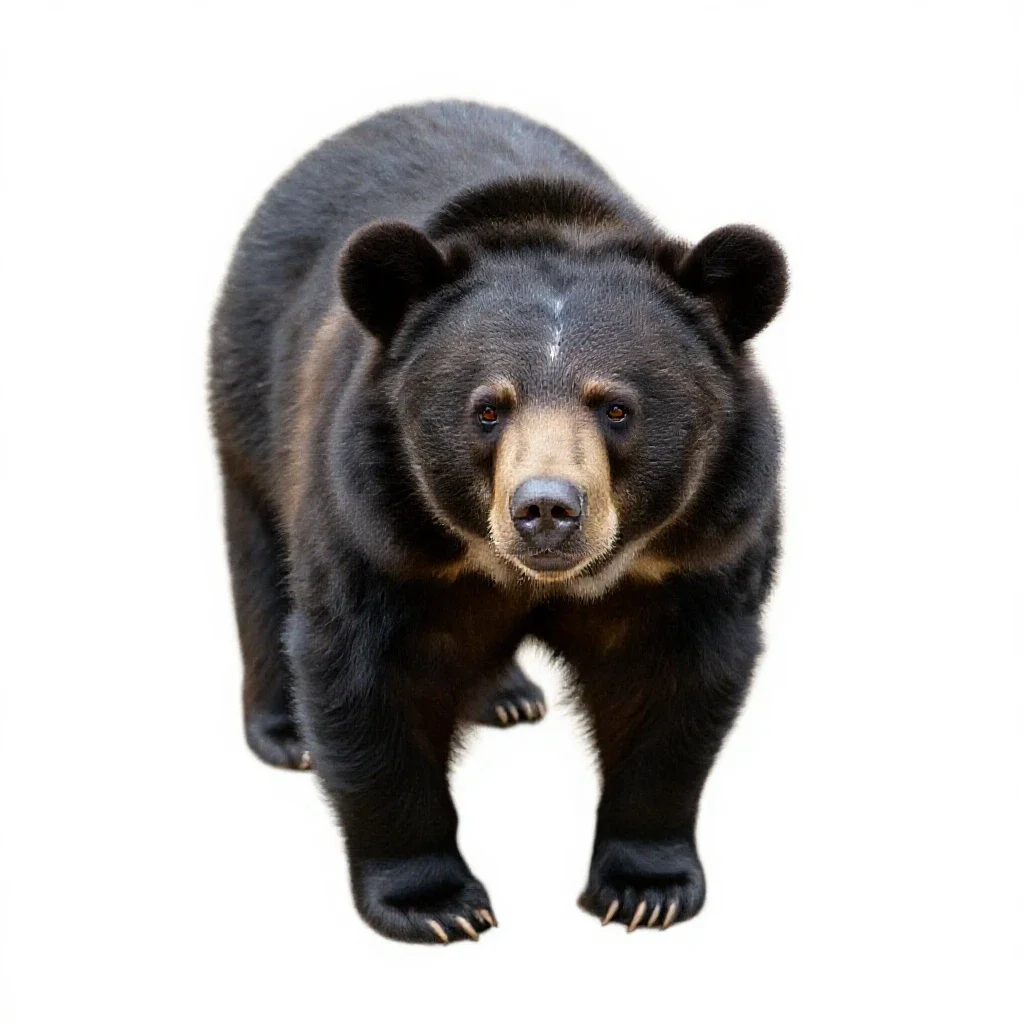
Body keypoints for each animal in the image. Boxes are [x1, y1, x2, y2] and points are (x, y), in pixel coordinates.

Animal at [209, 100, 786, 944]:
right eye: (487, 408)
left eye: (616, 407)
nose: (546, 510)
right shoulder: (375, 516)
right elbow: (362, 671)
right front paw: (436, 904)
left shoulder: (704, 537)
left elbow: (678, 681)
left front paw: (646, 889)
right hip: (251, 393)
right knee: (261, 553)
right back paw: (285, 733)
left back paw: (508, 697)